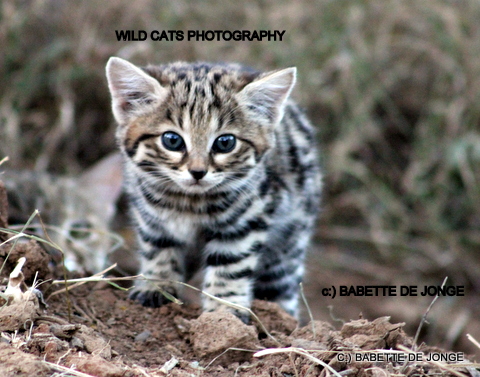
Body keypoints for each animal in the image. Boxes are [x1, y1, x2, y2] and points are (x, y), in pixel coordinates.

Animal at [105, 57, 322, 318]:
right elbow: (158, 248)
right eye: (172, 140)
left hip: (289, 241)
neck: (188, 202)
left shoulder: (247, 218)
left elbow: (231, 265)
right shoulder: (151, 215)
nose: (198, 172)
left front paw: (223, 310)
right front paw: (156, 285)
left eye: (225, 142)